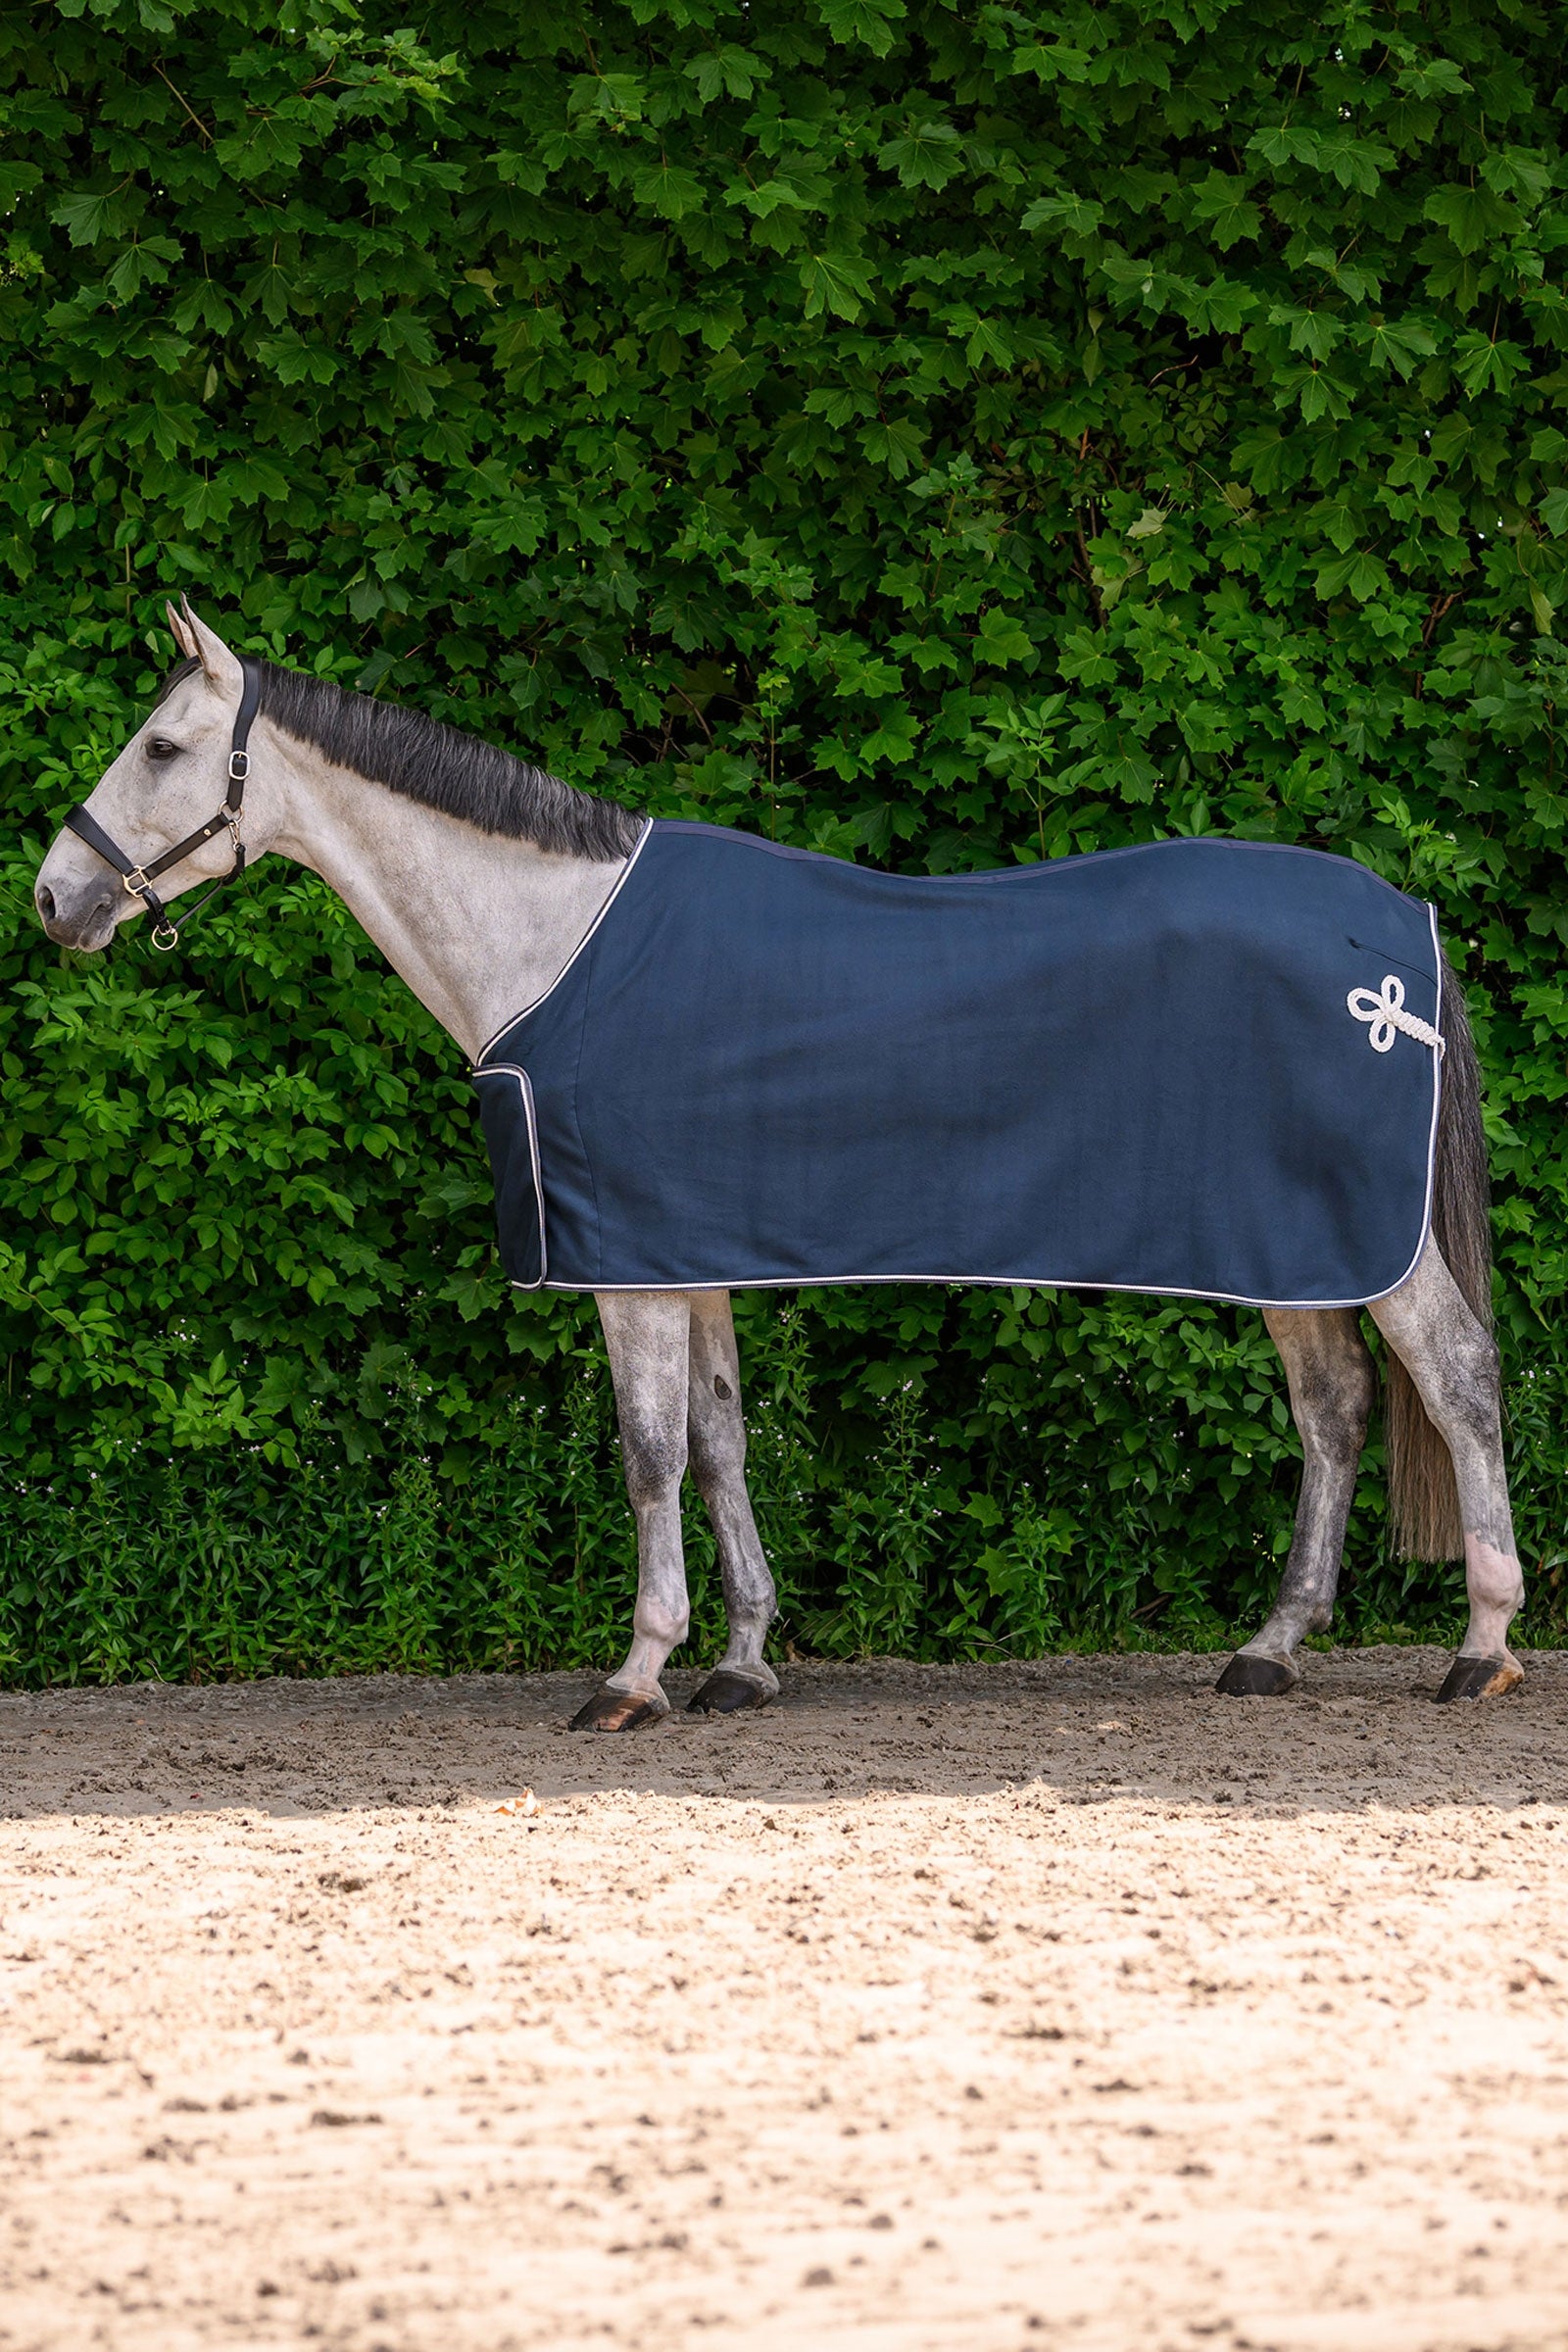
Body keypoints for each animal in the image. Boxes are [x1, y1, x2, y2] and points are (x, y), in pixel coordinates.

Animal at [32, 604, 1525, 1725]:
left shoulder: (627, 1268)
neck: (553, 939)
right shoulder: (683, 1253)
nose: (56, 898)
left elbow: (646, 1457)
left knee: (1455, 1379)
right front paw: (742, 1662)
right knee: (1334, 1410)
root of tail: (1399, 933)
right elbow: (720, 1442)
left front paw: (636, 1675)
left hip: (1361, 1243)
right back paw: (1271, 1648)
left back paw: (1482, 1648)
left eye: (162, 744)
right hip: (1295, 1249)